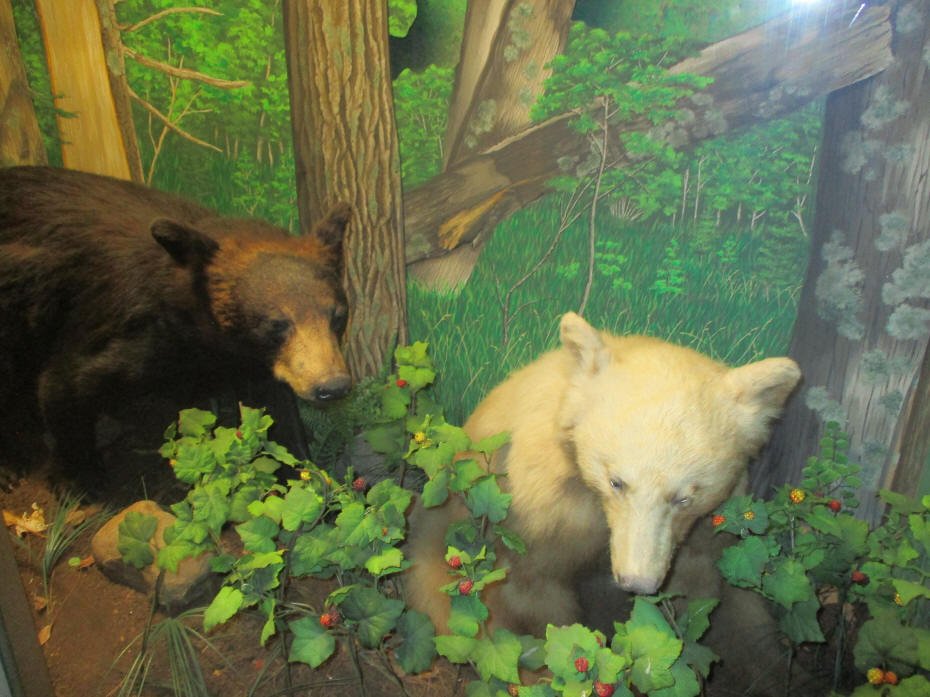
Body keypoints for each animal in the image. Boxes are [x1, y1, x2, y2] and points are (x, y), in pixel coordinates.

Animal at [0, 166, 351, 479]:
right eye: (277, 323)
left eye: (337, 315)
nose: (332, 386)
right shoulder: (127, 334)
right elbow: (63, 386)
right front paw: (83, 480)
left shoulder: (252, 363)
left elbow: (276, 414)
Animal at [404, 312, 801, 642]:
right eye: (616, 482)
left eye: (684, 497)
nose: (637, 582)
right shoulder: (541, 515)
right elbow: (534, 594)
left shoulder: (706, 530)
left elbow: (701, 593)